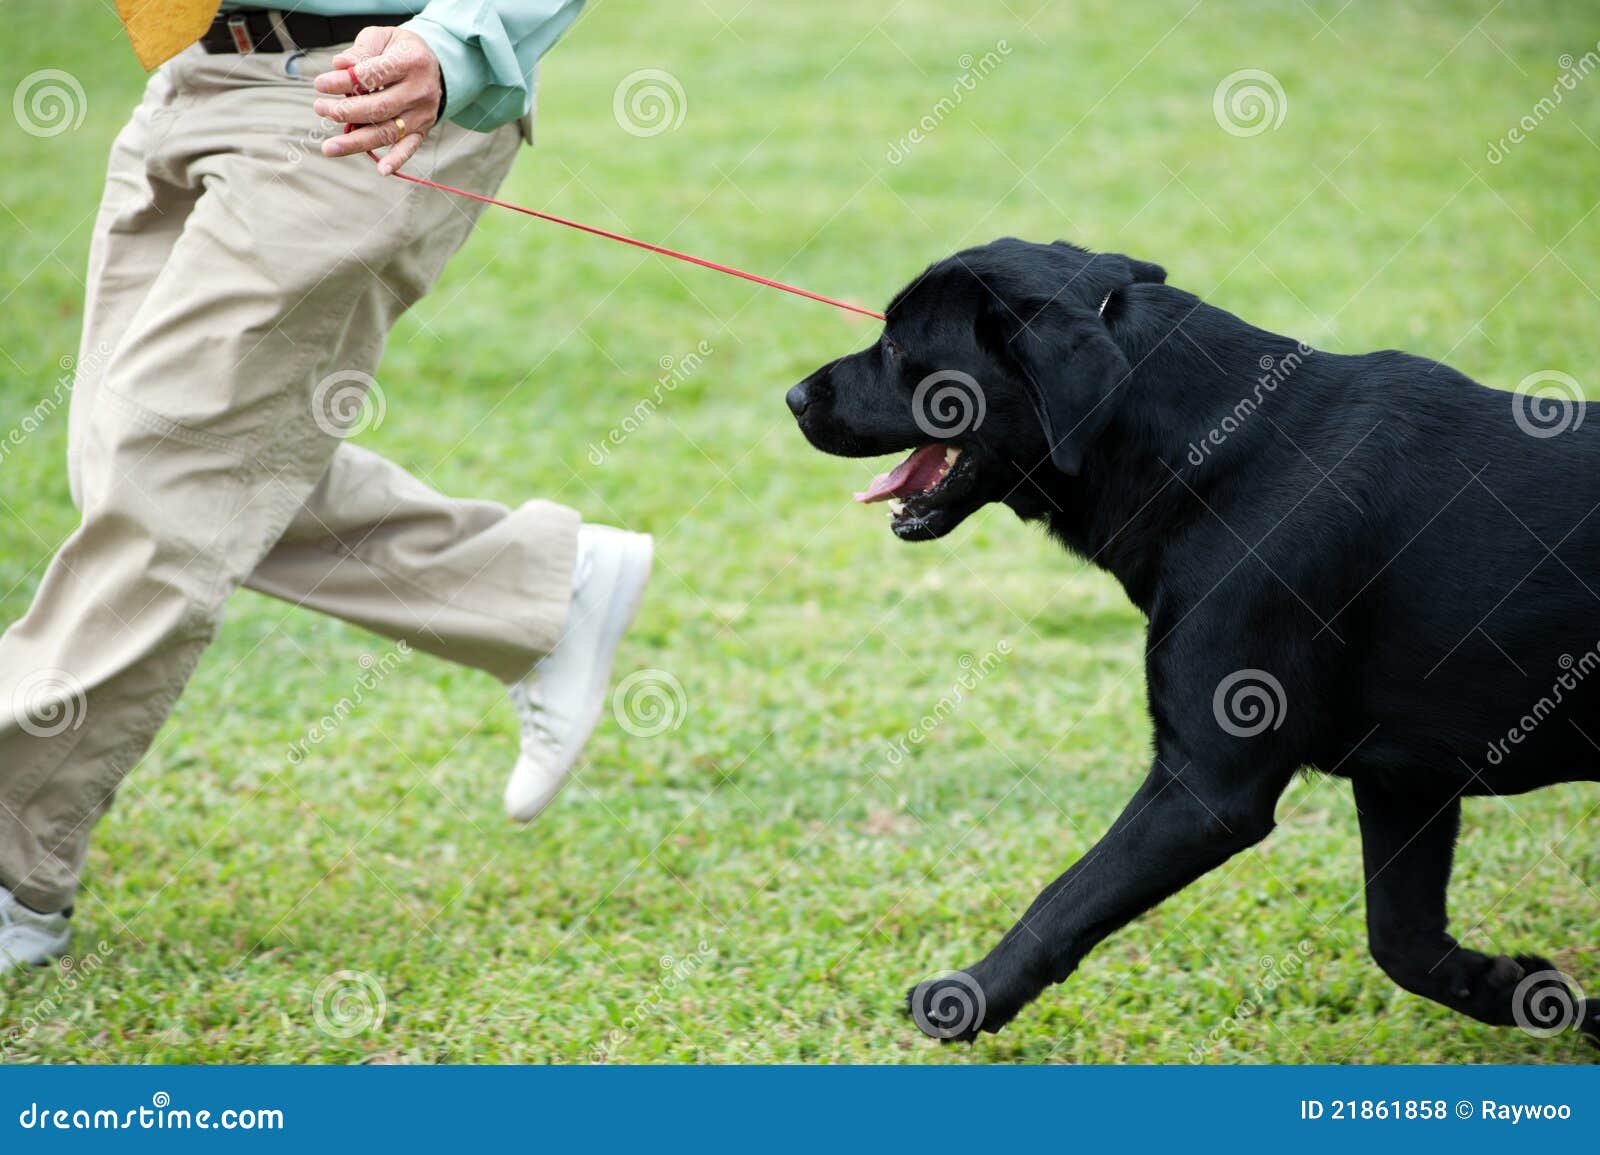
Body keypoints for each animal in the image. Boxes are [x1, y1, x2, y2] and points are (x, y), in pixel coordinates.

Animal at [787, 236, 1600, 1043]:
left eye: (898, 345)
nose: (794, 397)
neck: (1204, 452)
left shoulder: (1205, 786)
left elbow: (1064, 898)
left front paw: (970, 995)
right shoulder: (1404, 779)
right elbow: (1403, 941)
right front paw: (1526, 991)